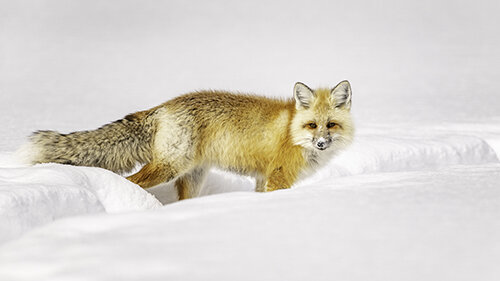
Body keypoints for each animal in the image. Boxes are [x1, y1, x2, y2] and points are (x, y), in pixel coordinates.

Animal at [21, 80, 354, 199]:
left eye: (331, 125)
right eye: (312, 125)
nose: (321, 143)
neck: (291, 131)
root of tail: (164, 105)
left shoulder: (262, 177)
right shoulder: (278, 176)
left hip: (192, 177)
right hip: (170, 167)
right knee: (132, 181)